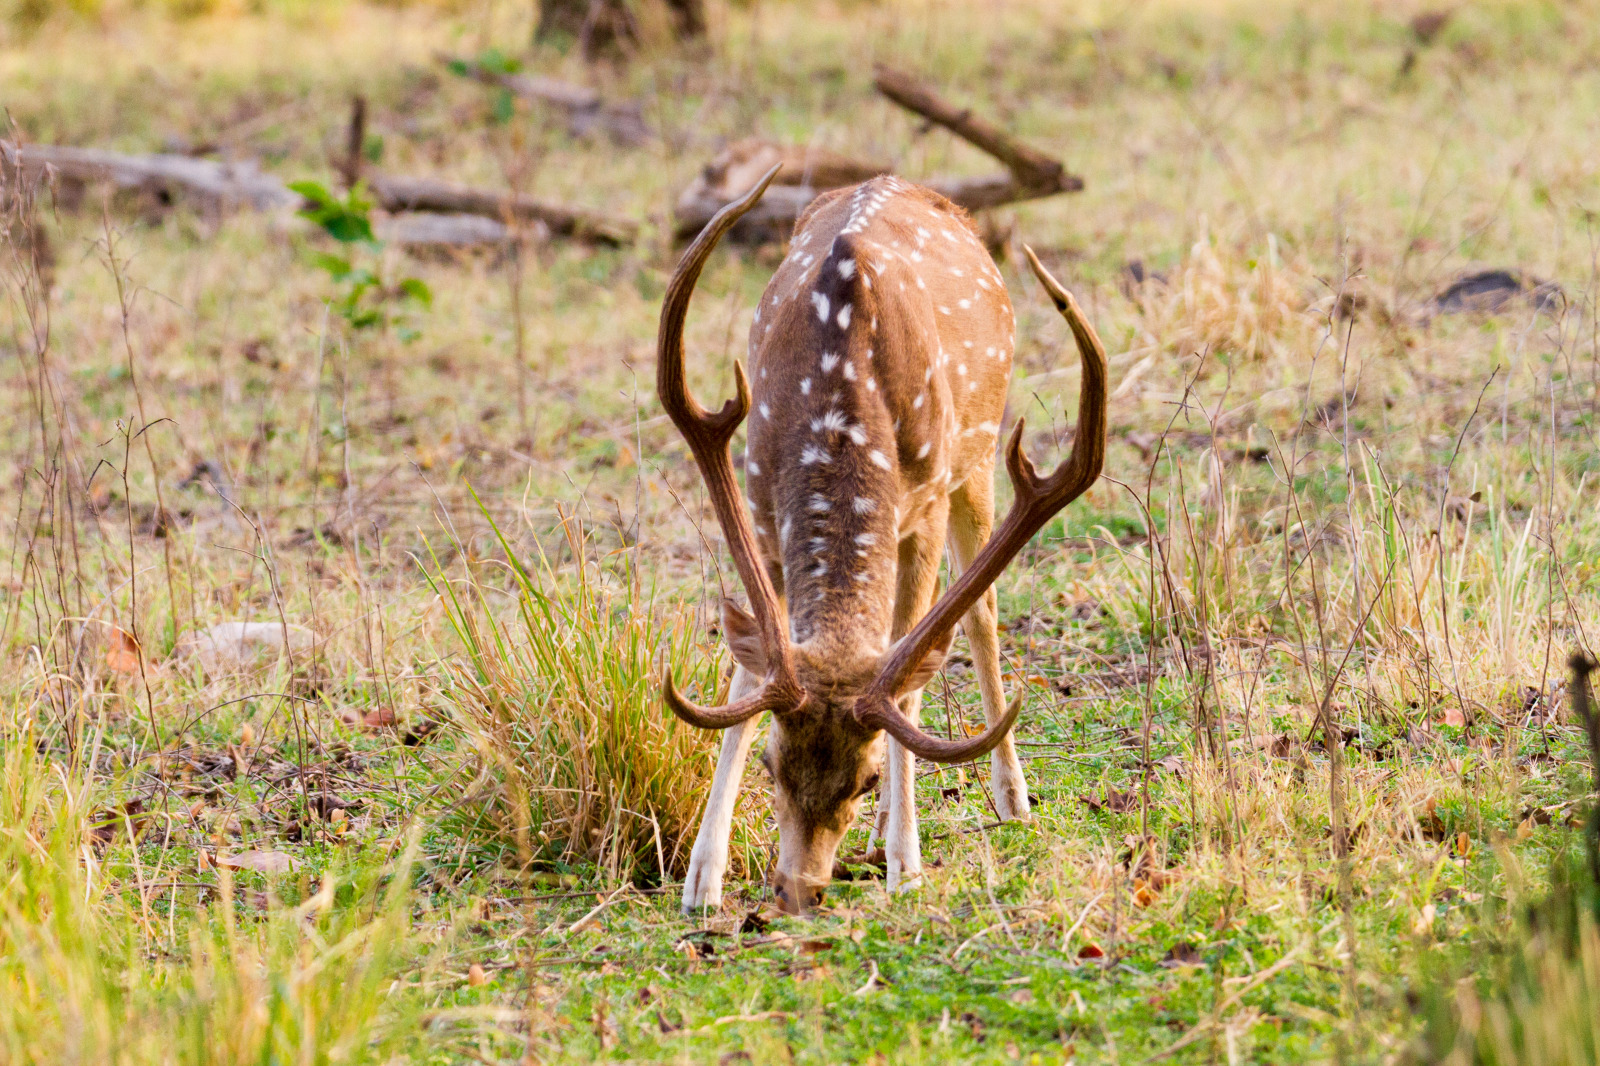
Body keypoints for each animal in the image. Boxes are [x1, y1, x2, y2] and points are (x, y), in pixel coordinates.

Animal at [656, 168, 1107, 915]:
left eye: (863, 778)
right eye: (774, 764)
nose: (798, 888)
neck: (839, 407)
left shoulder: (923, 506)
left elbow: (910, 672)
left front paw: (907, 861)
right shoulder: (760, 509)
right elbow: (749, 670)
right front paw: (702, 877)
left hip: (977, 460)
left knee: (977, 619)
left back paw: (1009, 800)